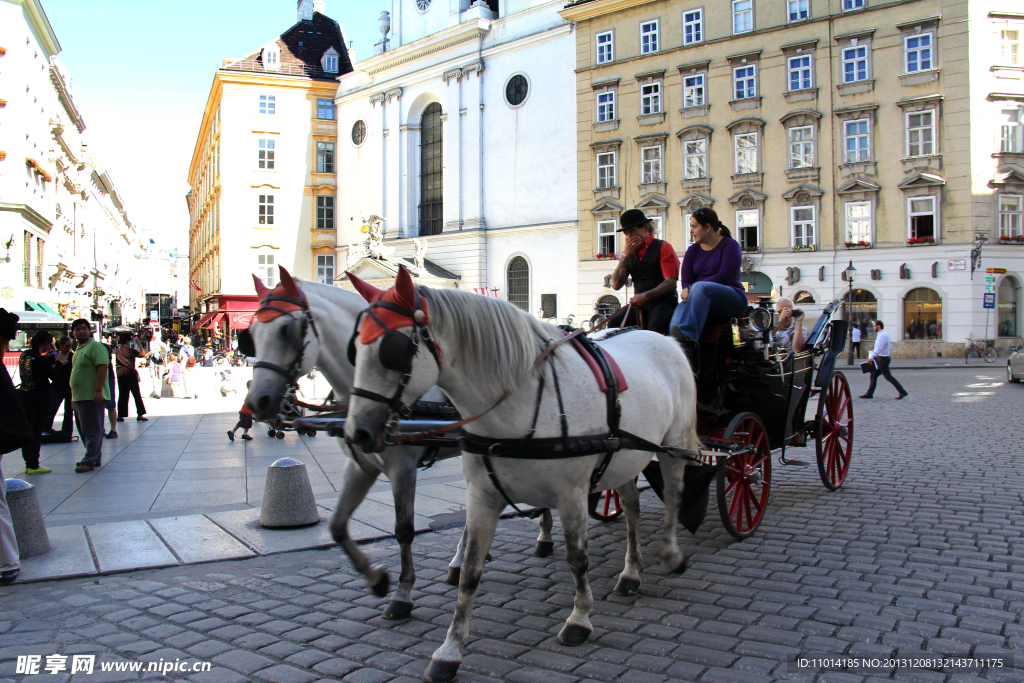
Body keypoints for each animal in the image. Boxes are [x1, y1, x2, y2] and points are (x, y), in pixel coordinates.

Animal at [242, 266, 557, 618]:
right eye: (250, 334)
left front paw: (402, 594)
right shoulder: (361, 464)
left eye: (287, 330)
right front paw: (376, 578)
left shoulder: (402, 468)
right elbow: (337, 526)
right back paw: (463, 559)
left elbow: (403, 530)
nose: (258, 402)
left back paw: (541, 537)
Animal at [348, 268, 700, 683]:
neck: (520, 401)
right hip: (625, 456)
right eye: (355, 349)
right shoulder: (482, 497)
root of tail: (665, 340)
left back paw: (670, 553)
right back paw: (631, 573)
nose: (357, 434)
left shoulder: (572, 495)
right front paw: (450, 650)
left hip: (672, 447)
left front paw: (580, 618)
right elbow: (470, 571)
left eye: (393, 349)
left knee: (674, 496)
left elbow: (577, 558)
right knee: (630, 508)